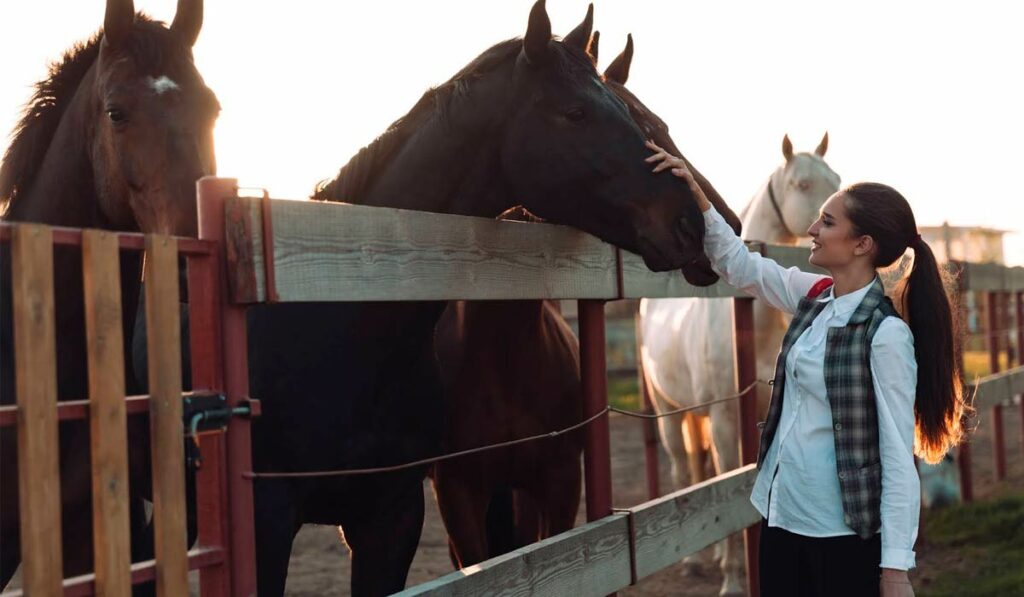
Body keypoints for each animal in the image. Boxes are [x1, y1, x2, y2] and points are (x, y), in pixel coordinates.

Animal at [428, 29, 741, 569]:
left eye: (657, 125)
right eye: (579, 114)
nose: (717, 225)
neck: (499, 350)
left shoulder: (558, 482)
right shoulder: (458, 492)